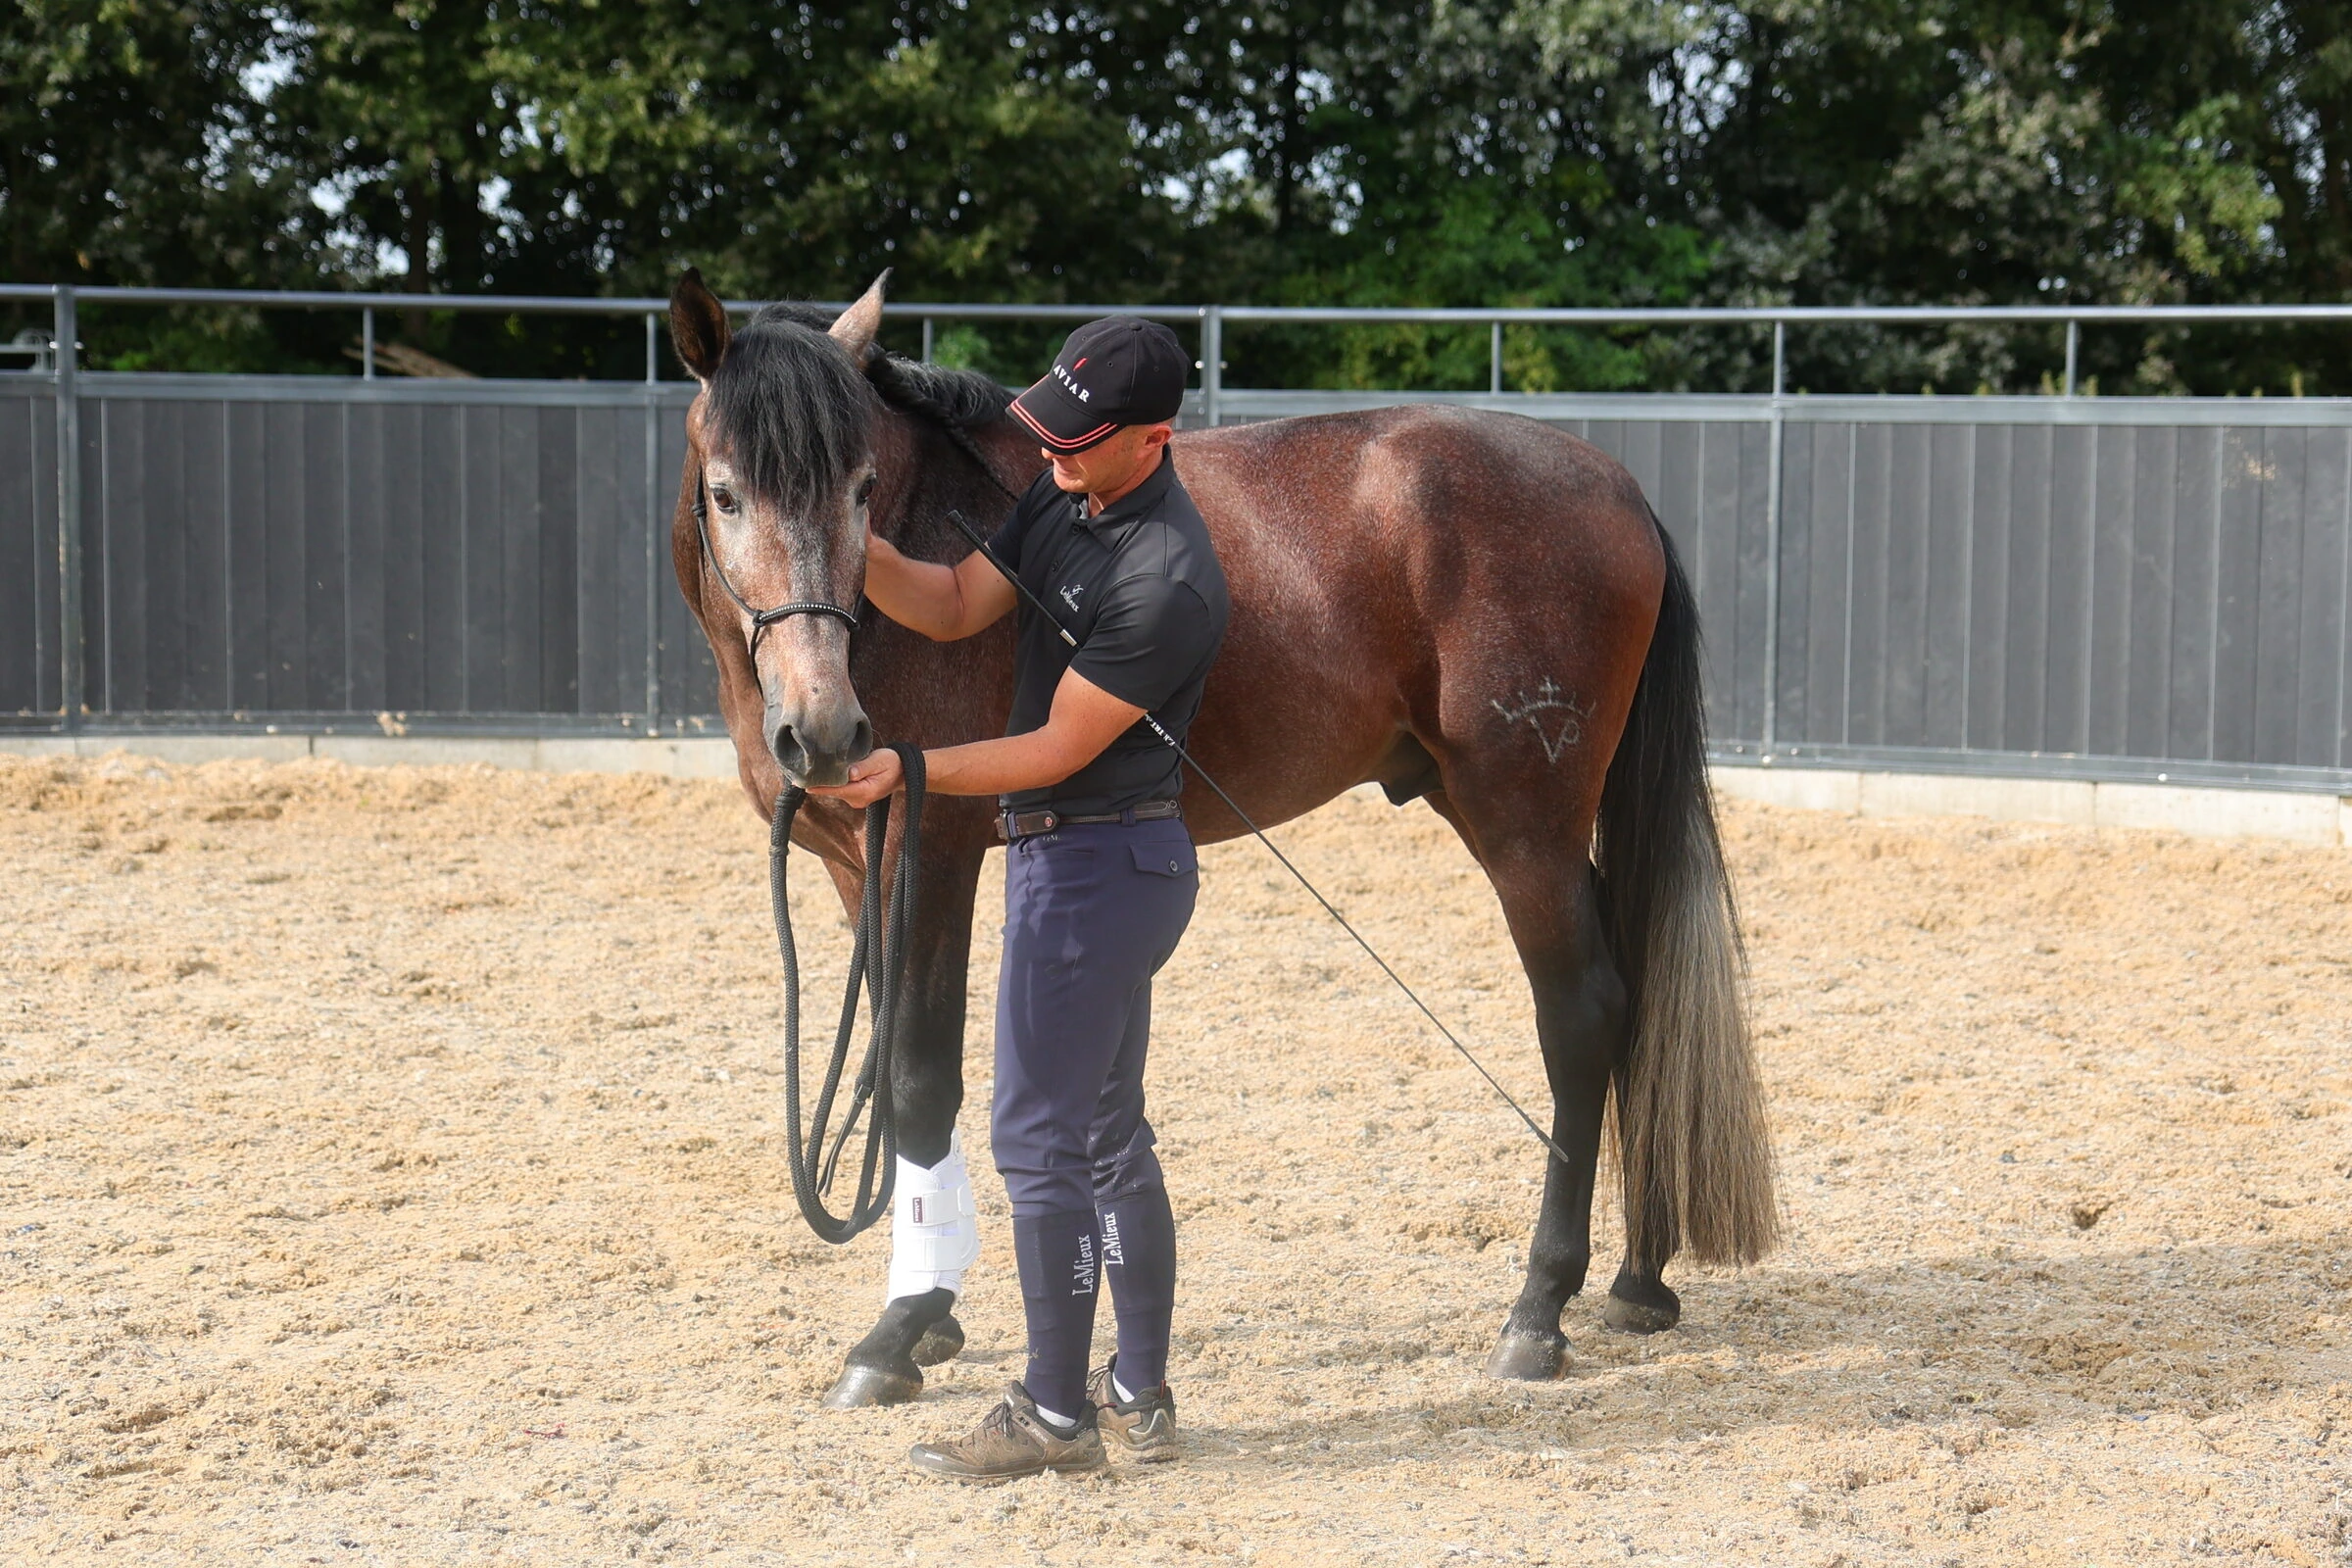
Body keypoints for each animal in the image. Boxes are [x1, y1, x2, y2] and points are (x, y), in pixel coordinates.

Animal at [663, 268, 1777, 1409]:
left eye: (861, 486)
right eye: (727, 493)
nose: (826, 733)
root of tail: (1616, 486)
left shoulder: (930, 851)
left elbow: (921, 1075)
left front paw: (898, 1332)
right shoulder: (859, 865)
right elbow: (886, 1072)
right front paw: (933, 1315)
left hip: (1525, 828)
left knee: (1583, 1016)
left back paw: (1538, 1309)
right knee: (1634, 1000)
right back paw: (1639, 1278)